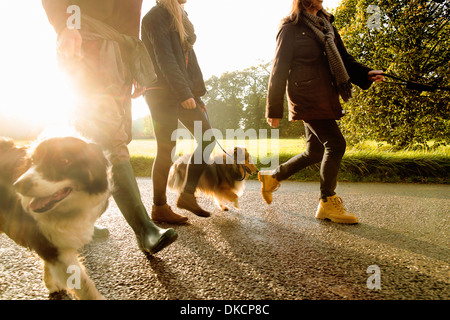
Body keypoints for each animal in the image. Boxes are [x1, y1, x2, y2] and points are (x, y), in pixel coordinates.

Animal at [0, 136, 111, 300]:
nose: (17, 185)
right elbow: (84, 284)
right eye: (33, 160)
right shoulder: (49, 243)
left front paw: (50, 283)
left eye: (64, 161)